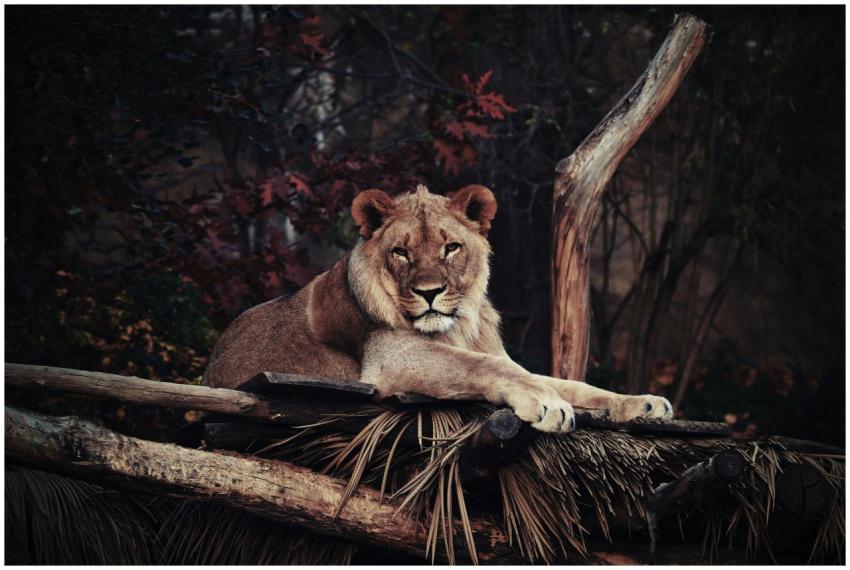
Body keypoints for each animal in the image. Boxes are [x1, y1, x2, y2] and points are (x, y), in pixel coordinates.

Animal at [204, 184, 672, 432]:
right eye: (401, 252)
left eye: (451, 248)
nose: (429, 292)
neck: (456, 327)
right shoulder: (389, 358)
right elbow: (485, 367)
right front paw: (546, 402)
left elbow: (570, 383)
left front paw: (642, 403)